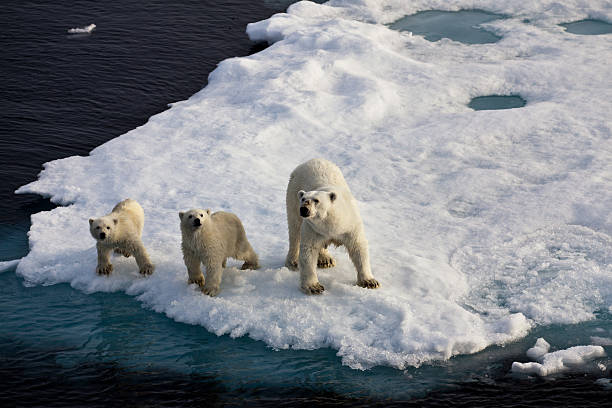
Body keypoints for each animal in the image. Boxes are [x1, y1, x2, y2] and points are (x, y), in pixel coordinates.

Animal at [286, 158, 380, 294]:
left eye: (316, 200)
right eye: (303, 199)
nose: (304, 209)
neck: (333, 225)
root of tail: (310, 160)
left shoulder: (350, 226)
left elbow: (358, 248)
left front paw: (370, 282)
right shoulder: (313, 228)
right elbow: (308, 252)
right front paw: (314, 287)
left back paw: (326, 260)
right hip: (292, 195)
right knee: (294, 230)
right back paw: (293, 261)